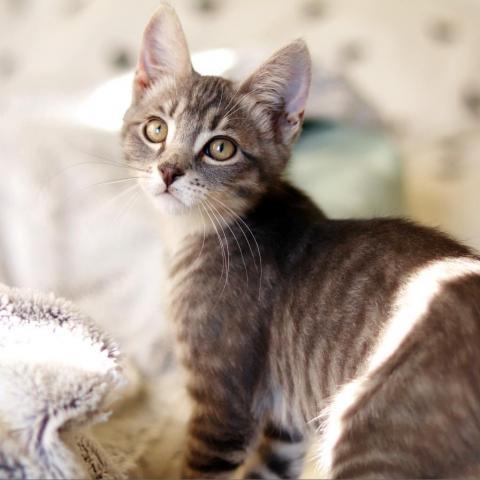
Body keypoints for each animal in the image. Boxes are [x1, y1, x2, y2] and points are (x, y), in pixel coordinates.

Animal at [121, 4, 480, 480]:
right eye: (157, 130)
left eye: (221, 148)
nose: (168, 171)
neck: (192, 236)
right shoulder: (288, 424)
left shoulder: (223, 409)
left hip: (374, 436)